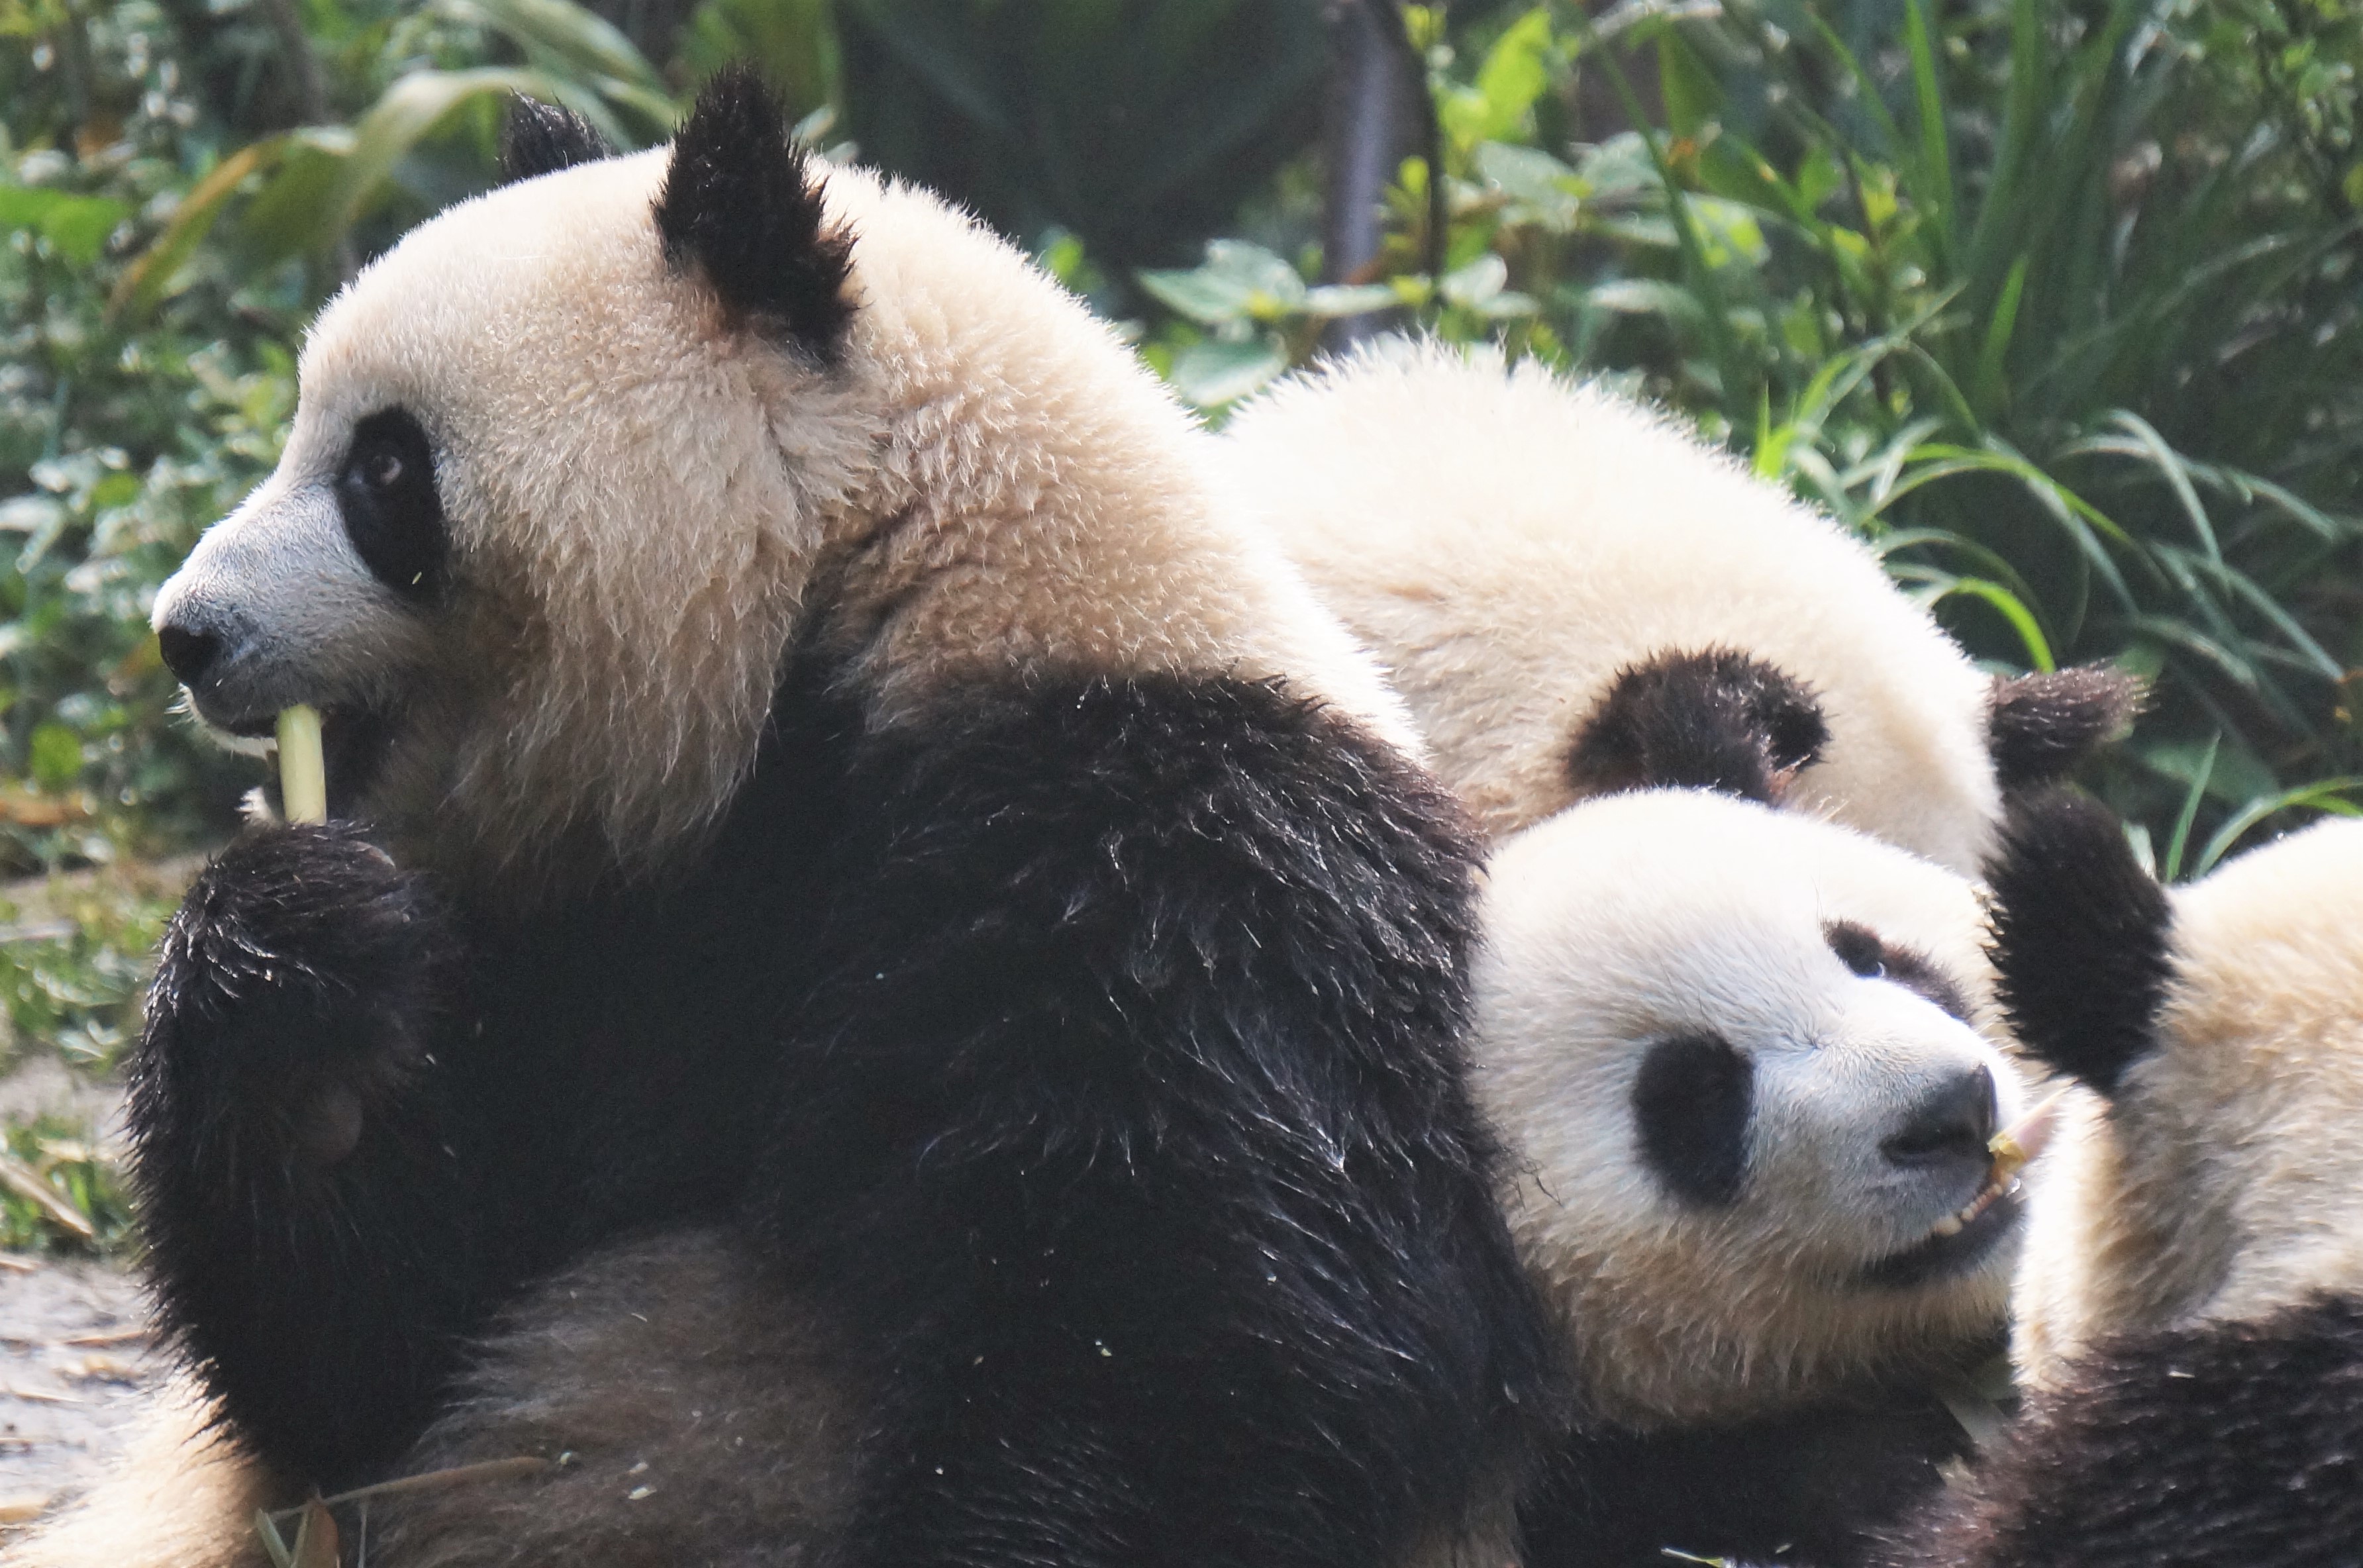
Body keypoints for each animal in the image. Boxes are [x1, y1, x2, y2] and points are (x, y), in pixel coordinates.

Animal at [2, 75, 1549, 1568]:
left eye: (383, 471)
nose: (187, 631)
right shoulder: (576, 930)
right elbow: (365, 1350)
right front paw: (303, 985)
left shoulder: (1176, 858)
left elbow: (1202, 1336)